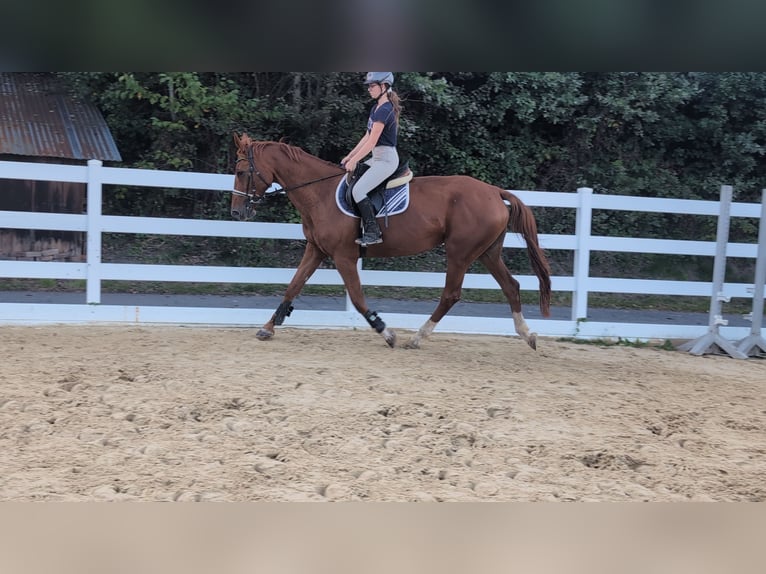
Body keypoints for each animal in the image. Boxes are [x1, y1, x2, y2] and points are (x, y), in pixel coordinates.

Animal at [231, 133, 551, 350]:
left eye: (241, 172)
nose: (236, 212)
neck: (319, 193)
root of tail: (494, 191)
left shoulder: (344, 256)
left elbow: (357, 298)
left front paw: (386, 332)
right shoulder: (317, 250)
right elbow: (293, 285)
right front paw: (268, 327)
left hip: (460, 253)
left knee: (451, 294)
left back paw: (418, 337)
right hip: (487, 252)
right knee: (511, 286)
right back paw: (528, 335)